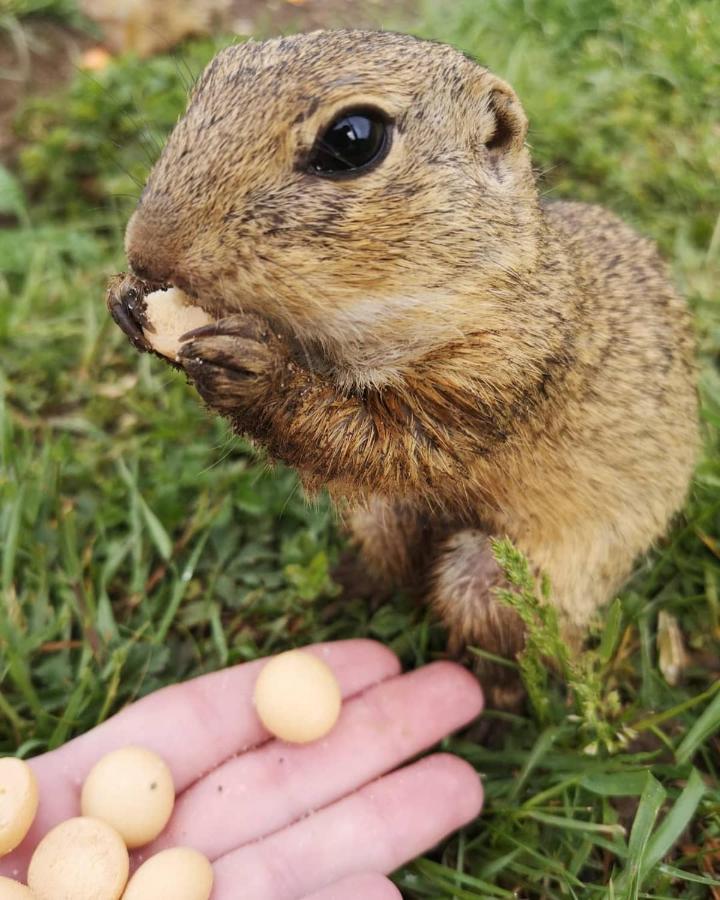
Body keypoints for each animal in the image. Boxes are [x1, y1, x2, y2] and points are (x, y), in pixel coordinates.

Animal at [107, 29, 696, 712]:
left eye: (353, 139)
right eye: (208, 79)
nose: (145, 253)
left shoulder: (500, 372)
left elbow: (394, 444)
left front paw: (258, 372)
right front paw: (126, 303)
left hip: (500, 576)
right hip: (383, 517)